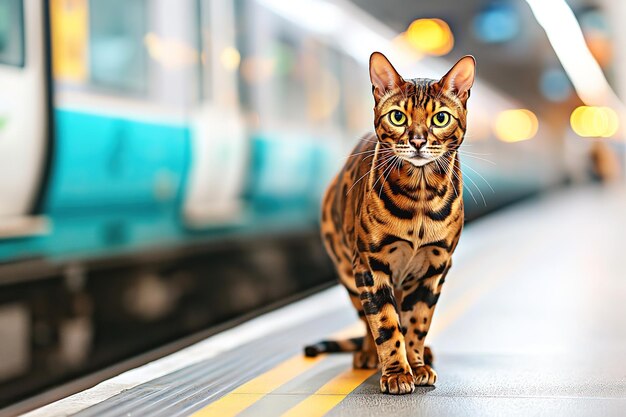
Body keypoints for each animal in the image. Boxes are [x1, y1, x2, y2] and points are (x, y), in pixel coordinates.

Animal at [302, 51, 472, 394]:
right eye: (397, 117)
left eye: (440, 118)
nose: (418, 141)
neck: (421, 199)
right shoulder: (371, 264)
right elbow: (384, 322)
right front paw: (395, 372)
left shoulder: (435, 267)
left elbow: (418, 322)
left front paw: (416, 364)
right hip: (348, 271)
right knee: (366, 319)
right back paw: (368, 354)